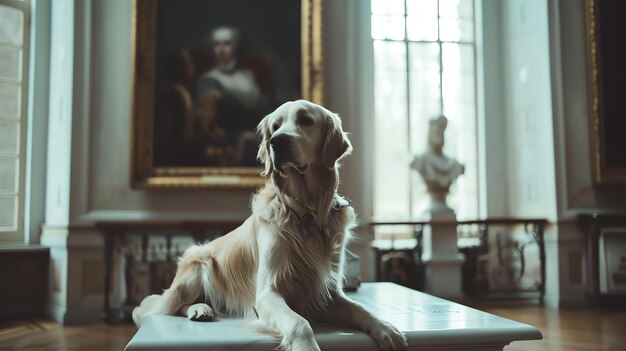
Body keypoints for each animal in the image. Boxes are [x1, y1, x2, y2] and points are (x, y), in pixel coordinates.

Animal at [132, 99, 408, 351]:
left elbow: (360, 308)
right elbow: (300, 324)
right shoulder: (266, 294)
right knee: (165, 308)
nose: (277, 141)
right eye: (275, 126)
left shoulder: (328, 290)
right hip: (197, 269)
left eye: (305, 120)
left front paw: (386, 329)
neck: (305, 212)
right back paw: (199, 308)